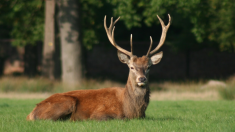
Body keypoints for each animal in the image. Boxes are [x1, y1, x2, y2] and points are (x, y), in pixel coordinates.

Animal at [27, 14, 171, 120]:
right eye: (131, 67)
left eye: (149, 67)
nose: (141, 79)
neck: (131, 110)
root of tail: (31, 113)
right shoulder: (99, 114)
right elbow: (117, 118)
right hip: (66, 102)